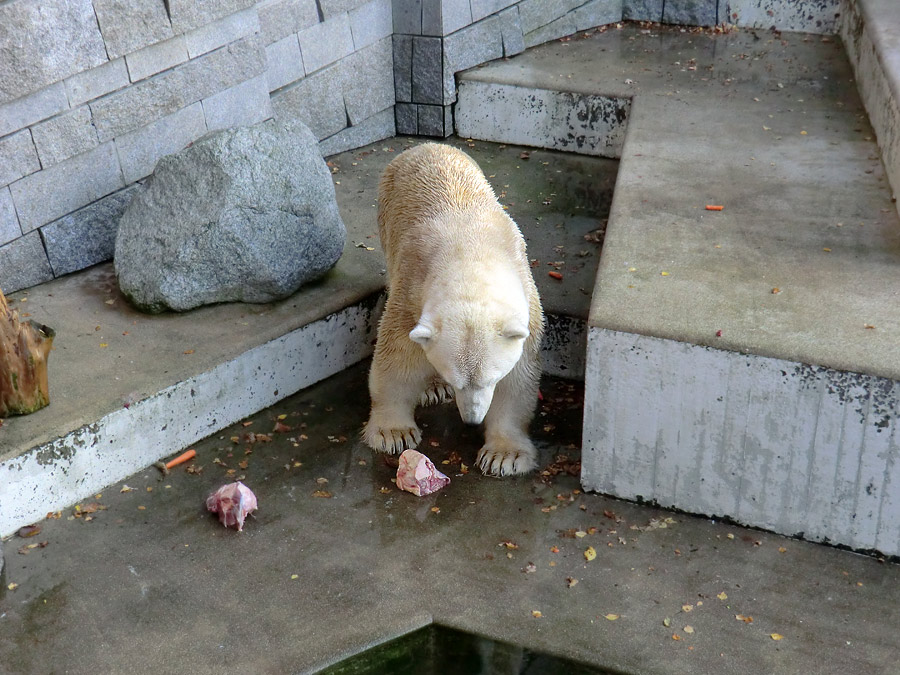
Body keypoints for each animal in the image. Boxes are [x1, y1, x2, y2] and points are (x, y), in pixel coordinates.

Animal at [362, 145, 544, 478]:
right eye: (457, 380)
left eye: (490, 379)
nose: (472, 419)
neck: (470, 251)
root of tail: (424, 146)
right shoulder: (410, 293)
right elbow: (397, 360)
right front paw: (393, 433)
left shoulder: (528, 308)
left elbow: (518, 378)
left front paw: (505, 455)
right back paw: (431, 388)